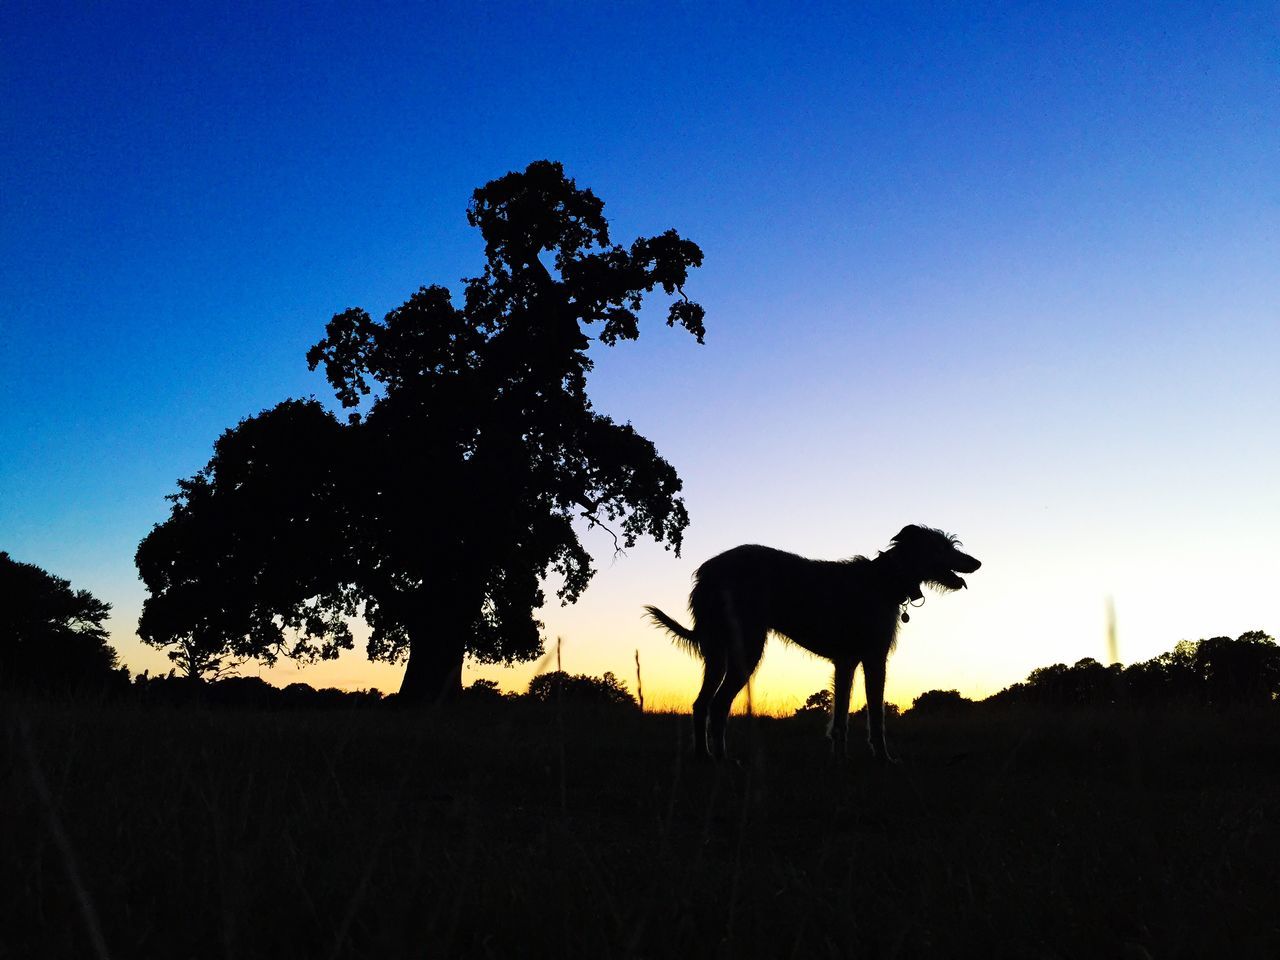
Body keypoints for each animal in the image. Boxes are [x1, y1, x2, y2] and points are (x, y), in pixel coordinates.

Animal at [645, 529, 983, 762]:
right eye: (943, 546)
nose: (977, 562)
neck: (885, 578)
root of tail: (707, 572)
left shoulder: (846, 662)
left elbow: (842, 714)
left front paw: (841, 758)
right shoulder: (874, 658)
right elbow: (877, 716)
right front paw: (884, 758)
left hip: (718, 652)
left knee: (701, 703)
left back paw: (704, 757)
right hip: (746, 649)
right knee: (718, 704)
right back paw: (723, 759)